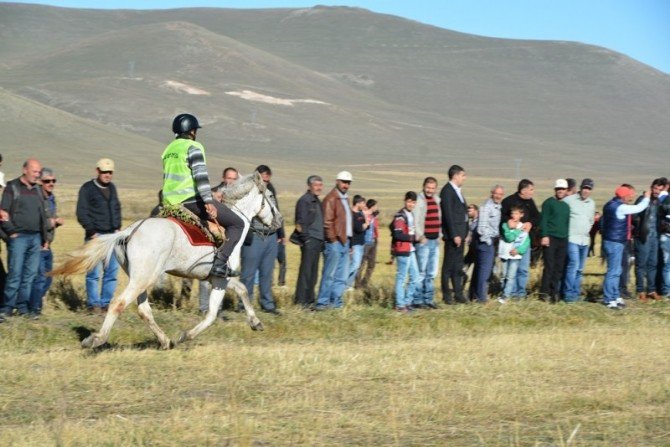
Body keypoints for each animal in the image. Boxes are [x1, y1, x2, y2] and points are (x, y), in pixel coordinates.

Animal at [51, 172, 282, 350]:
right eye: (270, 195)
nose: (279, 222)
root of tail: (127, 232)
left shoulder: (216, 276)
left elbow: (242, 289)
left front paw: (256, 323)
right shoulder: (220, 279)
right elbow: (212, 314)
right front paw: (185, 336)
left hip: (141, 278)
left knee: (144, 310)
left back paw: (164, 341)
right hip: (143, 278)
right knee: (118, 304)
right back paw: (97, 339)